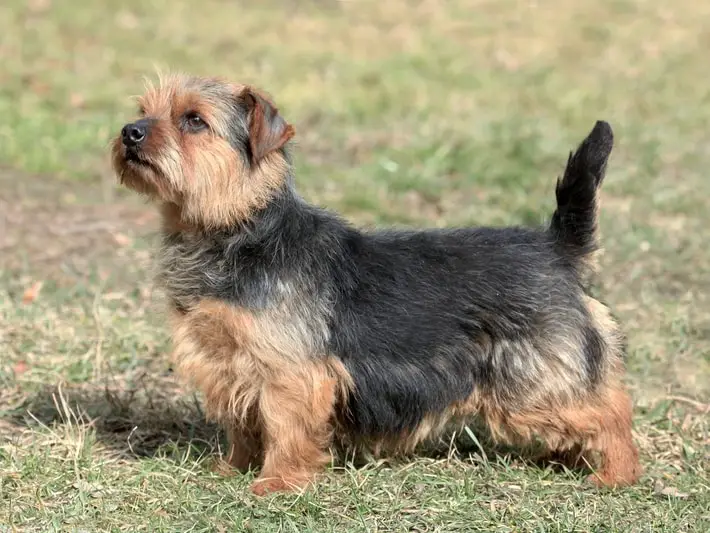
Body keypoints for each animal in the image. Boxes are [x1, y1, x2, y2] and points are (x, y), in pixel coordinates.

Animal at [111, 72, 644, 492]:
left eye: (193, 120)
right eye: (143, 110)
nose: (129, 132)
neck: (237, 229)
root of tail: (556, 247)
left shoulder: (289, 373)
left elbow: (285, 429)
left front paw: (276, 483)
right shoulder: (227, 360)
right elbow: (242, 424)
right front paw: (233, 470)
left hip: (532, 383)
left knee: (613, 408)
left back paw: (616, 474)